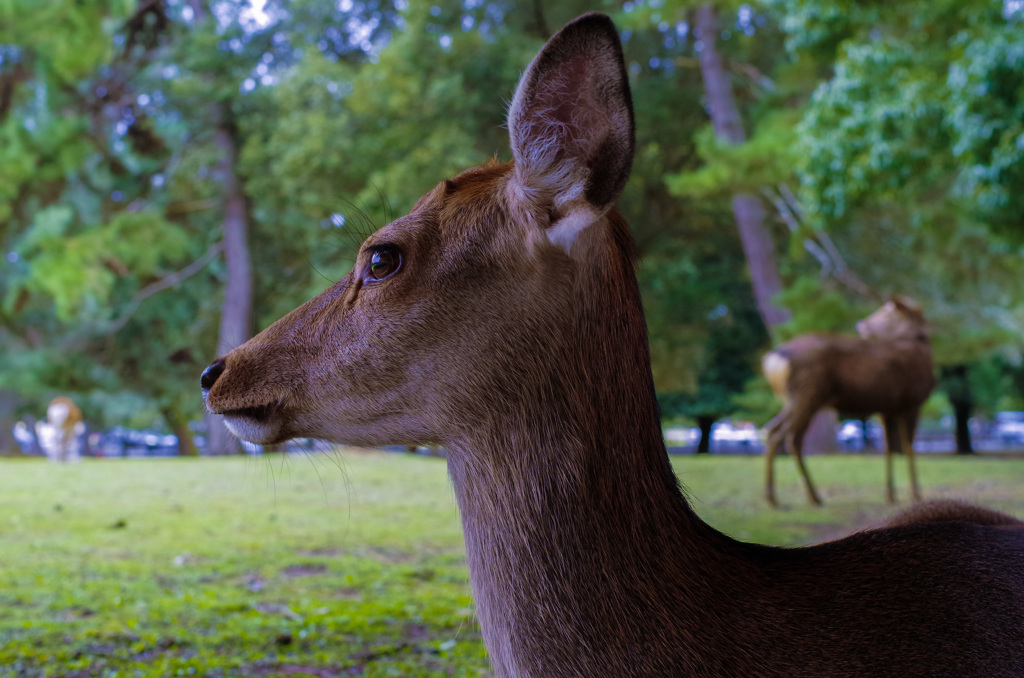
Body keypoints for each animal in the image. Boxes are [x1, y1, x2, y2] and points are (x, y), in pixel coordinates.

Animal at [761, 294, 937, 507]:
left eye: (888, 311)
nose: (862, 323)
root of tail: (773, 358)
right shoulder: (912, 401)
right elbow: (909, 447)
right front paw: (915, 495)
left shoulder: (887, 407)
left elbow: (888, 448)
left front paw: (891, 495)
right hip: (807, 394)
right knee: (784, 436)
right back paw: (780, 497)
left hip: (796, 398)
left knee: (775, 431)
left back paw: (803, 496)